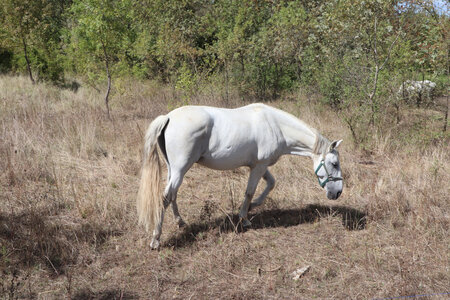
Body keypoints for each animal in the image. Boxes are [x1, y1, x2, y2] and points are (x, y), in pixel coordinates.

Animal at [135, 103, 342, 248]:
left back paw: (180, 222)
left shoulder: (260, 165)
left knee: (173, 195)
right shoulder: (258, 167)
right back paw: (156, 239)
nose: (338, 192)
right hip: (180, 169)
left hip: (174, 169)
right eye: (334, 163)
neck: (276, 126)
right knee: (165, 197)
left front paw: (254, 206)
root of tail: (168, 117)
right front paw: (245, 218)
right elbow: (250, 191)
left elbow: (271, 183)